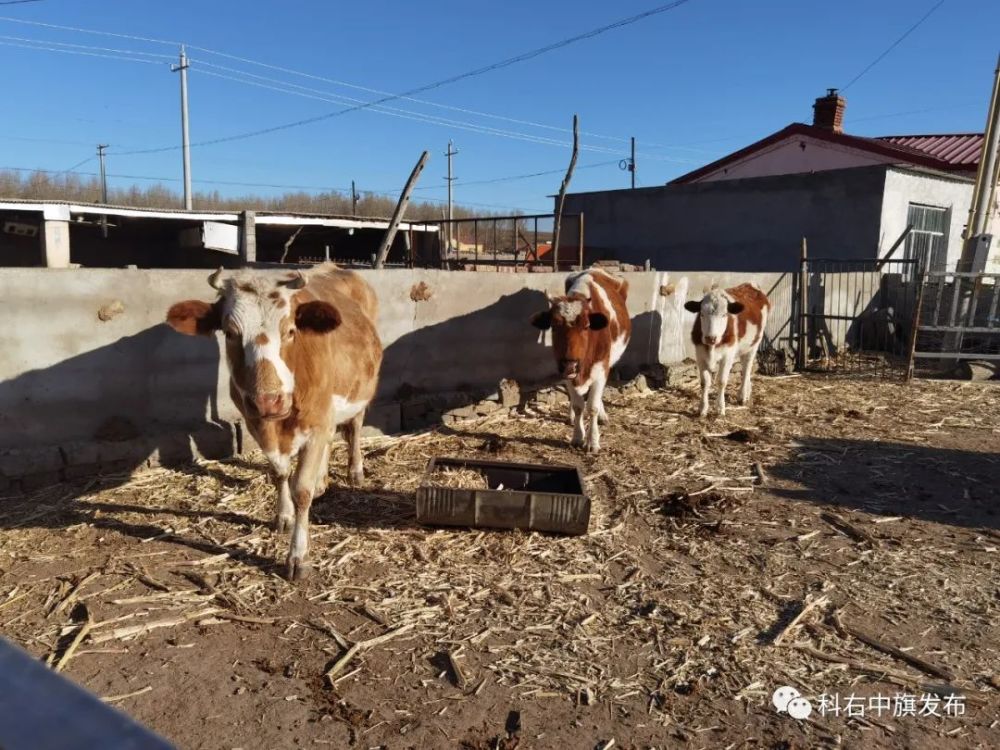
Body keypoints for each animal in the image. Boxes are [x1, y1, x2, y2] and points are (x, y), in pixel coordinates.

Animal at [164, 264, 382, 580]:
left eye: (290, 330)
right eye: (230, 333)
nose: (268, 400)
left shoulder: (317, 423)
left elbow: (301, 489)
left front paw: (298, 556)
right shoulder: (257, 424)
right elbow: (280, 474)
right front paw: (284, 515)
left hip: (359, 393)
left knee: (353, 428)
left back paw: (354, 471)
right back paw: (322, 479)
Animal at [528, 268, 628, 452]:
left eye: (587, 326)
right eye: (554, 326)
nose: (571, 365)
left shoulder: (601, 368)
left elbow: (592, 407)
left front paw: (593, 441)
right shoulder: (565, 371)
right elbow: (578, 405)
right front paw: (577, 436)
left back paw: (602, 415)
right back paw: (571, 416)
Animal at [684, 284, 768, 420]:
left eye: (724, 315)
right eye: (702, 314)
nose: (710, 338)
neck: (712, 346)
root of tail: (750, 284)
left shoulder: (727, 356)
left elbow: (722, 381)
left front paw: (720, 408)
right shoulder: (700, 355)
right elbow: (704, 382)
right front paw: (702, 409)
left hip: (754, 344)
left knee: (746, 369)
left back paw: (742, 395)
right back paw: (747, 391)